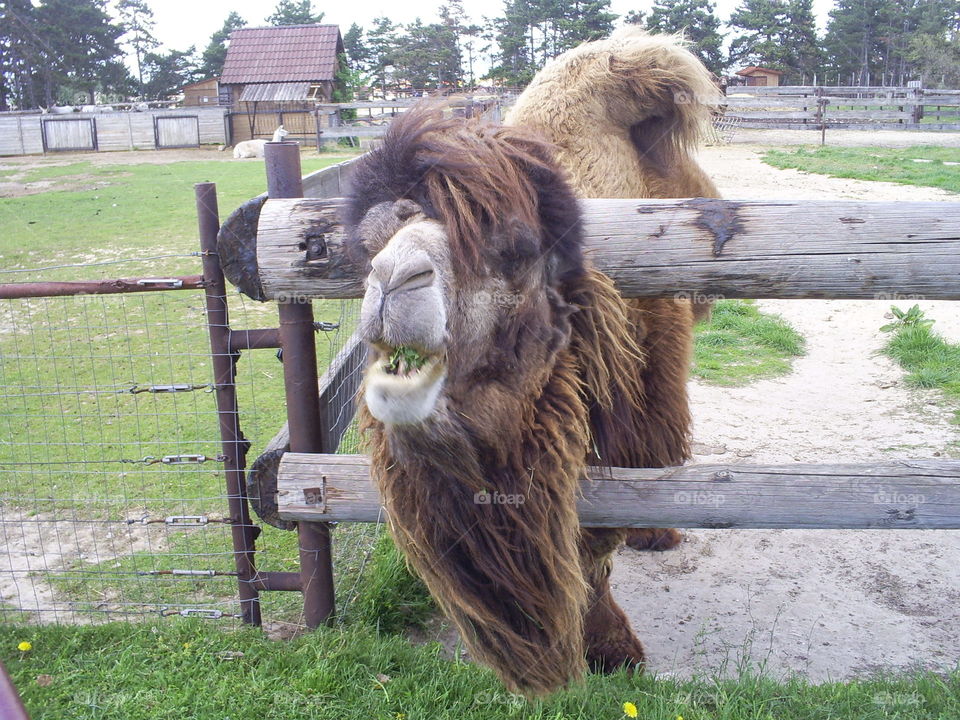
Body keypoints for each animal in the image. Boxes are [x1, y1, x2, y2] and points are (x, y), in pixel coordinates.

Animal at [344, 28, 720, 696]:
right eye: (370, 248)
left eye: (514, 250)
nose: (393, 282)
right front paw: (606, 646)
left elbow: (599, 531)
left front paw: (616, 650)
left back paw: (658, 533)